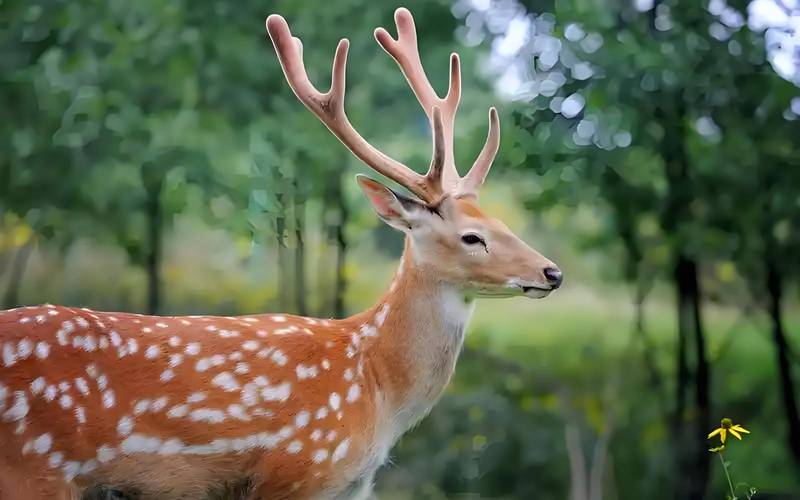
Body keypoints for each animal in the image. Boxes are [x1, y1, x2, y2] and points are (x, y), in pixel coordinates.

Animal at [0, 8, 561, 500]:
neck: (375, 388)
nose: (552, 272)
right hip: (34, 468)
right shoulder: (297, 471)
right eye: (472, 237)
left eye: (503, 224)